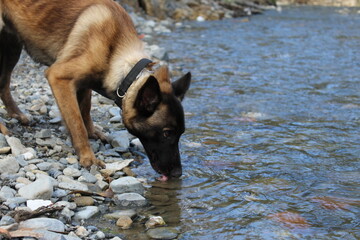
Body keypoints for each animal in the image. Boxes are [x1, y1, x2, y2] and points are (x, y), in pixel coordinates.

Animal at [0, 0, 191, 180]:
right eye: (167, 133)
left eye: (180, 133)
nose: (178, 174)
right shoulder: (59, 78)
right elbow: (77, 124)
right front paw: (87, 157)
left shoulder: (84, 84)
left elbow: (85, 110)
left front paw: (92, 132)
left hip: (12, 46)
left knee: (3, 84)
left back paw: (16, 113)